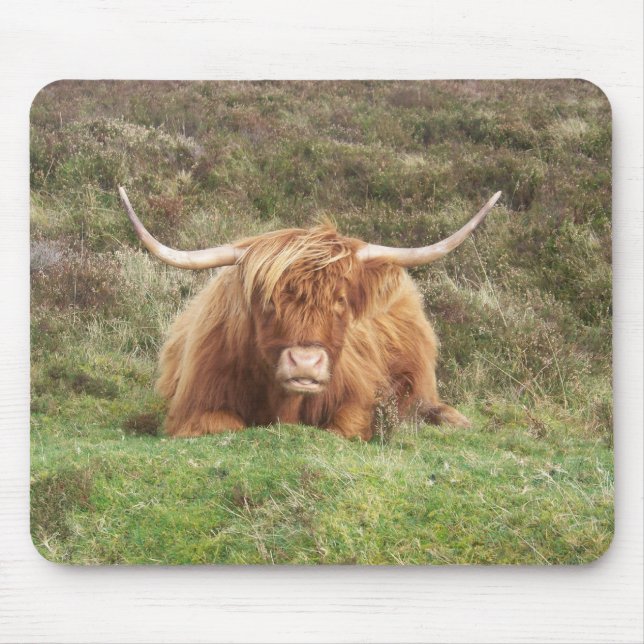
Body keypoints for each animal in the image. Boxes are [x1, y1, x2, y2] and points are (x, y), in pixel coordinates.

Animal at [119, 187, 501, 440]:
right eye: (268, 301)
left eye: (341, 300)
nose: (305, 363)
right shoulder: (196, 406)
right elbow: (221, 426)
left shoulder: (358, 399)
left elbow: (344, 428)